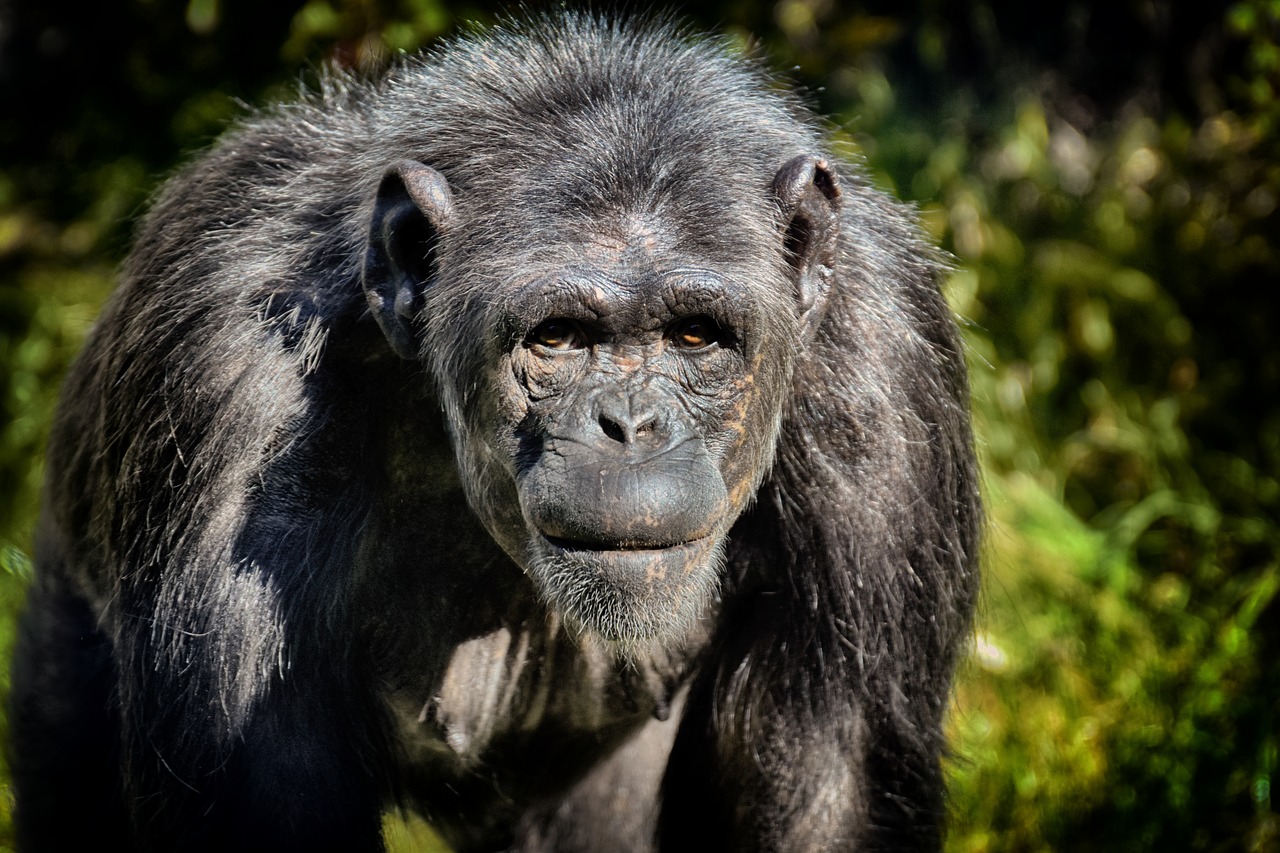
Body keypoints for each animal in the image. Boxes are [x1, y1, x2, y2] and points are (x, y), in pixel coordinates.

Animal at [7, 11, 977, 850]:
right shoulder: (223, 386)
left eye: (697, 336)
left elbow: (827, 778)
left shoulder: (885, 380)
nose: (630, 424)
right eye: (558, 338)